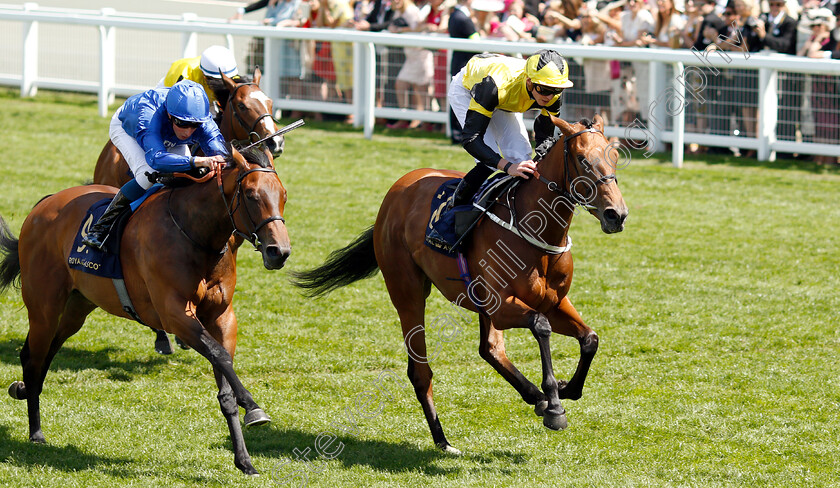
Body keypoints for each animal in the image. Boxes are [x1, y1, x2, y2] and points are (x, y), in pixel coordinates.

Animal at [0, 147, 292, 474]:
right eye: (252, 195)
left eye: (284, 195)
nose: (279, 252)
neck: (195, 232)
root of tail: (44, 205)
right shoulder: (174, 314)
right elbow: (218, 354)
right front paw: (253, 407)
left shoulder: (222, 316)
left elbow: (224, 379)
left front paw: (244, 459)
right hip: (44, 307)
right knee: (33, 358)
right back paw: (35, 431)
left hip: (77, 307)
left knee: (48, 352)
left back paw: (24, 392)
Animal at [292, 113, 628, 454]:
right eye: (582, 159)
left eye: (614, 156)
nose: (617, 215)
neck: (535, 229)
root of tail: (398, 188)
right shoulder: (503, 305)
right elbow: (541, 326)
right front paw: (555, 405)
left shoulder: (553, 302)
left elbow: (590, 338)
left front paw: (564, 389)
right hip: (408, 293)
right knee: (420, 370)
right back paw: (444, 439)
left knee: (490, 349)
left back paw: (534, 397)